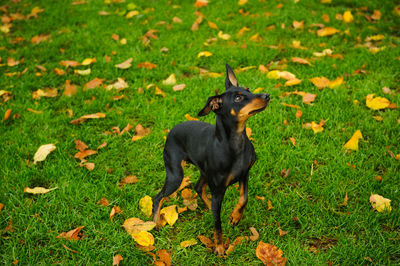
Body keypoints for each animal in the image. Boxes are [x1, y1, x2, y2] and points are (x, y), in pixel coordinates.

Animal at [152, 64, 270, 256]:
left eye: (248, 89)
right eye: (238, 98)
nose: (267, 95)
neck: (235, 144)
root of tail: (171, 131)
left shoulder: (244, 174)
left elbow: (244, 198)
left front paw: (235, 217)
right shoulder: (219, 189)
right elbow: (217, 224)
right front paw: (220, 247)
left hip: (205, 172)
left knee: (199, 187)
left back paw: (209, 207)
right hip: (176, 176)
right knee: (158, 197)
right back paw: (155, 223)